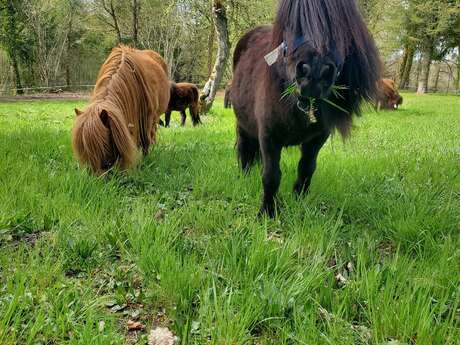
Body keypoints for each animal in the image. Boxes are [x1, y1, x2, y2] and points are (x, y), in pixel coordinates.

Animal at [73, 45, 170, 173]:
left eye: (103, 144)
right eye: (84, 148)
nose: (97, 176)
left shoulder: (147, 120)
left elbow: (145, 142)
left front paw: (145, 161)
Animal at [234, 0, 380, 215]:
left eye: (338, 24)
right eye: (291, 22)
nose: (314, 74)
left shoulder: (317, 138)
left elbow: (307, 167)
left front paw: (299, 201)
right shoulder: (268, 136)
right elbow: (271, 174)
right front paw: (268, 212)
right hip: (243, 125)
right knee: (244, 149)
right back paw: (243, 179)